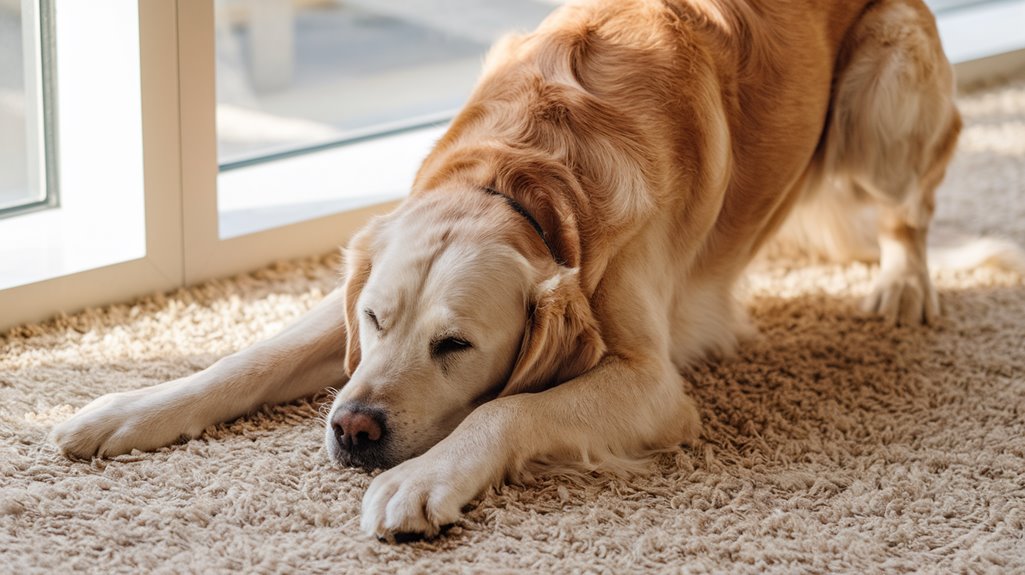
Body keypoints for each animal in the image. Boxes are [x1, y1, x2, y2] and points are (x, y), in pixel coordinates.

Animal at [54, 0, 967, 537]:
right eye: (376, 319)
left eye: (455, 345)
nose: (352, 429)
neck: (525, 177)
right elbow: (250, 358)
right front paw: (127, 409)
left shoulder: (652, 382)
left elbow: (506, 410)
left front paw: (423, 479)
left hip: (885, 78)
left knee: (916, 197)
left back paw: (901, 282)